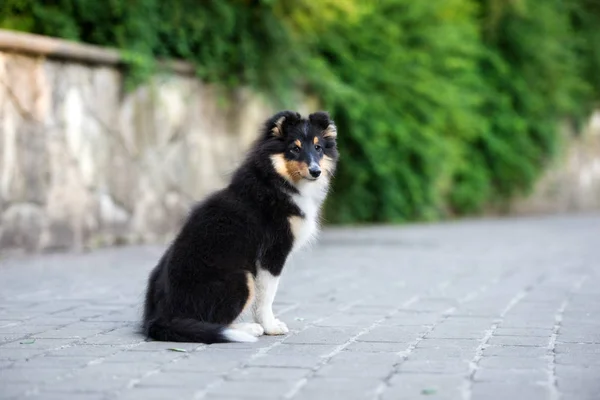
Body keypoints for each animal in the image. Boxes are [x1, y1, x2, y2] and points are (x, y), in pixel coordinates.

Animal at [140, 110, 338, 344]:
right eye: (295, 148)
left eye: (318, 147)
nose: (315, 171)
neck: (276, 181)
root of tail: (160, 318)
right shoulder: (271, 255)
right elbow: (266, 296)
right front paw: (270, 327)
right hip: (241, 277)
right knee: (214, 322)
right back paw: (249, 329)